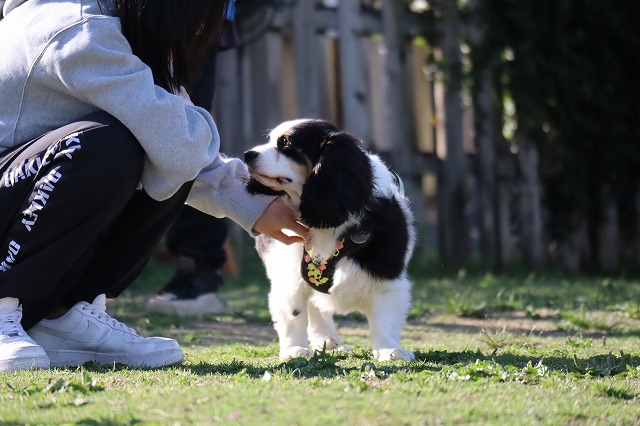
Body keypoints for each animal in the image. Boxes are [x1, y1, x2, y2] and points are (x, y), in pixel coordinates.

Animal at [244, 119, 416, 361]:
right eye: (269, 140)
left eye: (286, 143)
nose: (248, 154)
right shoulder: (287, 272)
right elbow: (294, 313)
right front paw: (294, 349)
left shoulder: (387, 273)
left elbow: (384, 317)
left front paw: (389, 350)